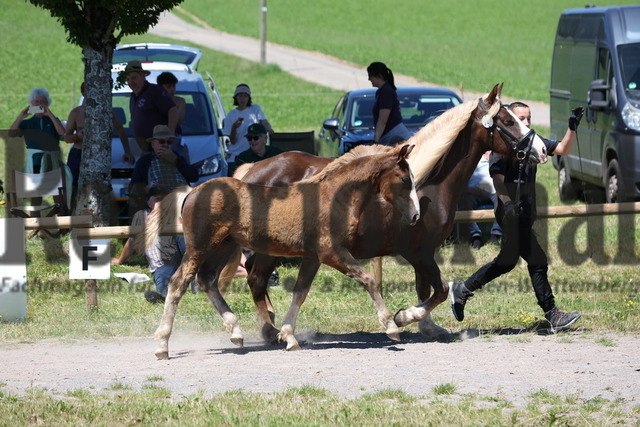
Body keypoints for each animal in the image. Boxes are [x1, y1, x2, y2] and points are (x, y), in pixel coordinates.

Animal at [150, 145, 420, 360]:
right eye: (405, 180)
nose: (416, 216)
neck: (334, 196)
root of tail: (192, 192)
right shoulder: (332, 253)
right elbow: (368, 280)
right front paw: (391, 325)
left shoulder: (313, 257)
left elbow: (300, 293)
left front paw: (288, 337)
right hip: (200, 247)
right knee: (178, 283)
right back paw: (162, 345)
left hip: (223, 247)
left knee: (208, 279)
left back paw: (236, 332)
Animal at [228, 83, 548, 348]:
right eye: (508, 121)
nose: (543, 149)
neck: (426, 184)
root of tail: (252, 170)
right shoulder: (417, 251)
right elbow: (440, 289)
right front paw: (404, 317)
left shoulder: (425, 250)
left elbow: (425, 287)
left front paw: (428, 327)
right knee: (256, 279)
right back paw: (269, 331)